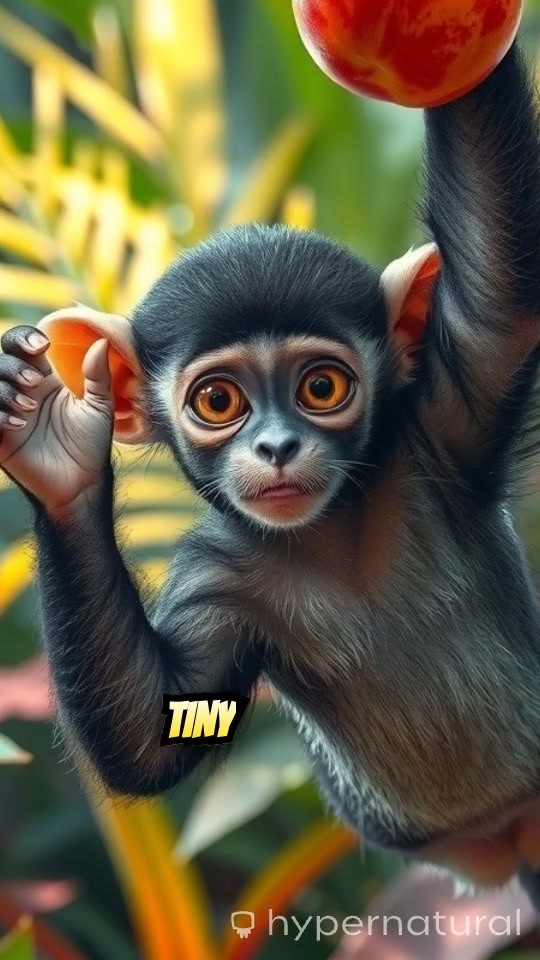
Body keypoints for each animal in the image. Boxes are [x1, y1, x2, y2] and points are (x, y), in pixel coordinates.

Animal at [2, 37, 540, 904]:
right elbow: (150, 730)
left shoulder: (446, 423)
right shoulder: (217, 576)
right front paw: (54, 450)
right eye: (219, 400)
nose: (278, 446)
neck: (335, 535)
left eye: (320, 387)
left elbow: (501, 299)